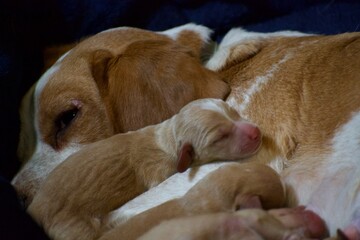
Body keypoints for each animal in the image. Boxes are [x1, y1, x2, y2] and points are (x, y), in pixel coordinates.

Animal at [26, 98, 260, 240]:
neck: (167, 138)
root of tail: (33, 209)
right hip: (72, 227)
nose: (256, 132)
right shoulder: (159, 171)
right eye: (220, 137)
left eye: (233, 112)